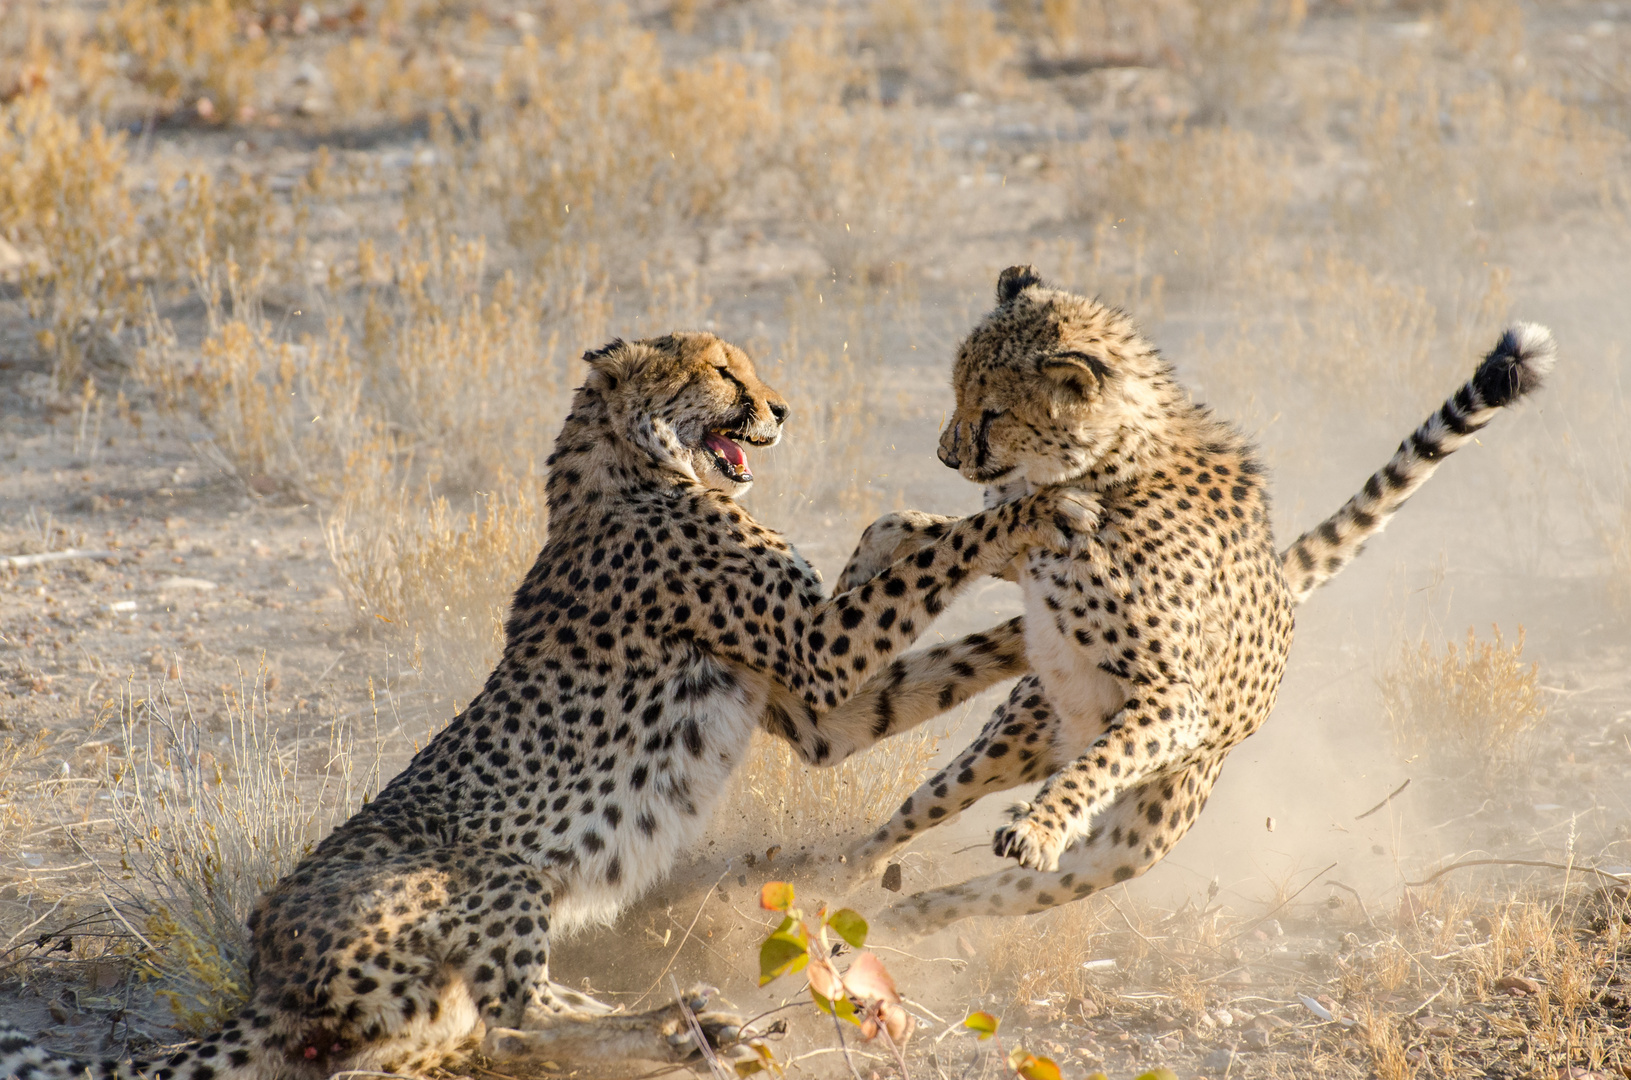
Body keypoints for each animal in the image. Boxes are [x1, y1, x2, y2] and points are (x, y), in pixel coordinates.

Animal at [6, 334, 1096, 1076]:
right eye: (722, 373)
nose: (780, 409)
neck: (630, 462)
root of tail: (263, 957)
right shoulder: (818, 658)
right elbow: (938, 554)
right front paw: (1040, 511)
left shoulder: (820, 714)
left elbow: (933, 620)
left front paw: (1049, 647)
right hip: (490, 879)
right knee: (512, 1012)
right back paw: (676, 1024)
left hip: (437, 991)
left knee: (482, 1035)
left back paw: (694, 1026)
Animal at [841, 265, 1552, 933]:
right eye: (957, 394)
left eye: (993, 412)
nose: (945, 454)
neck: (1110, 460)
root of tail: (1282, 583)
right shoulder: (1022, 540)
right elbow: (917, 526)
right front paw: (860, 571)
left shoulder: (1174, 698)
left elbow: (1101, 762)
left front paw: (1040, 826)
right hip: (1014, 736)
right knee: (919, 810)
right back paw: (841, 872)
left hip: (1131, 840)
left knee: (1013, 886)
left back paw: (922, 907)